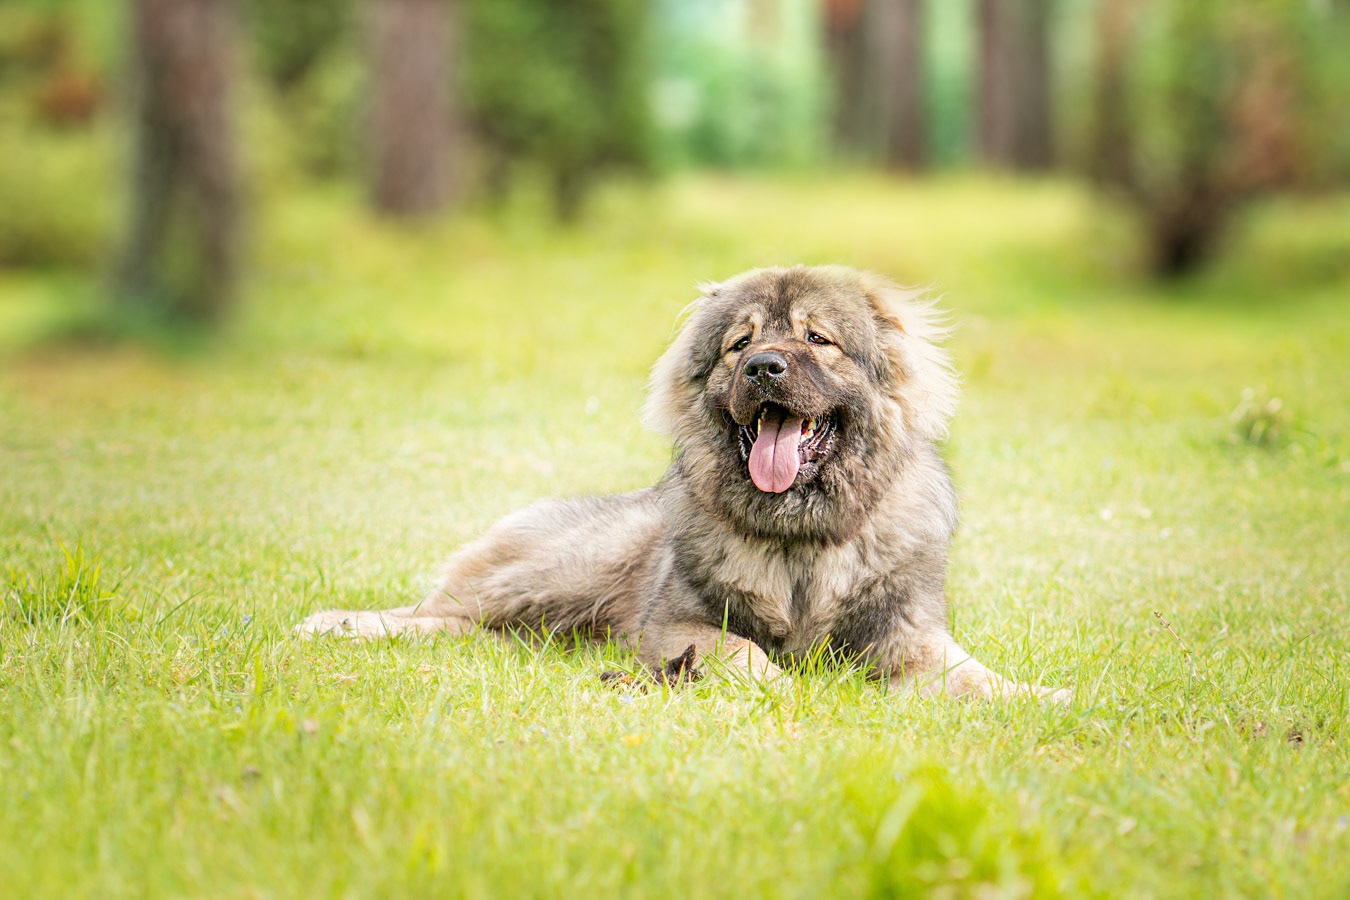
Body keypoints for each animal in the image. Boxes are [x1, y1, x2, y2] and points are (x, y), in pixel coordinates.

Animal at [297, 265, 1069, 701]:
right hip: (567, 568)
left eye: (817, 340)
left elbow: (974, 676)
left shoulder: (909, 637)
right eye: (739, 344)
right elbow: (745, 652)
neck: (802, 542)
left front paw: (1044, 698)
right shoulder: (676, 625)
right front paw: (790, 690)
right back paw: (341, 624)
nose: (763, 367)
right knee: (437, 609)